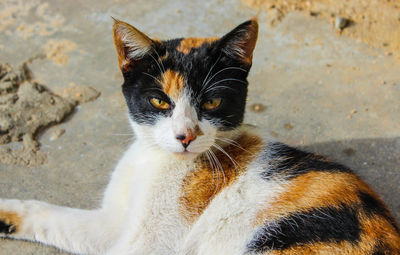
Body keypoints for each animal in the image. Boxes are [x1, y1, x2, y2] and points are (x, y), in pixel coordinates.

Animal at [0, 16, 400, 254]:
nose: (185, 136)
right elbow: (51, 215)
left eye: (212, 101)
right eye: (159, 100)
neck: (153, 160)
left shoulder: (147, 245)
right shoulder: (113, 224)